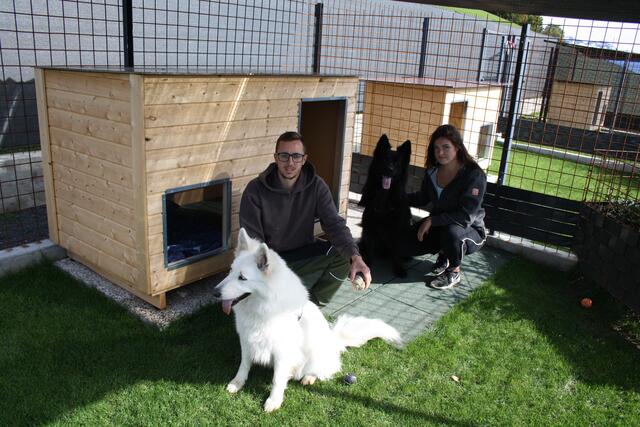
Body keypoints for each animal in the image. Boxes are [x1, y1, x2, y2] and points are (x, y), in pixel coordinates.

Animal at [212, 229, 402, 412]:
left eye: (242, 278)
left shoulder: (282, 351)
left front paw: (274, 400)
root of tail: (334, 339)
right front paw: (237, 383)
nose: (215, 292)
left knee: (325, 369)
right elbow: (244, 365)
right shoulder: (246, 341)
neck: (264, 308)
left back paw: (309, 377)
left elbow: (277, 379)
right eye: (230, 271)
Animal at [358, 135, 412, 280]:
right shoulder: (370, 227)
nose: (390, 169)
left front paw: (399, 268)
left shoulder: (396, 230)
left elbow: (397, 252)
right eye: (384, 160)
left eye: (397, 163)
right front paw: (366, 265)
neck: (384, 196)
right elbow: (369, 250)